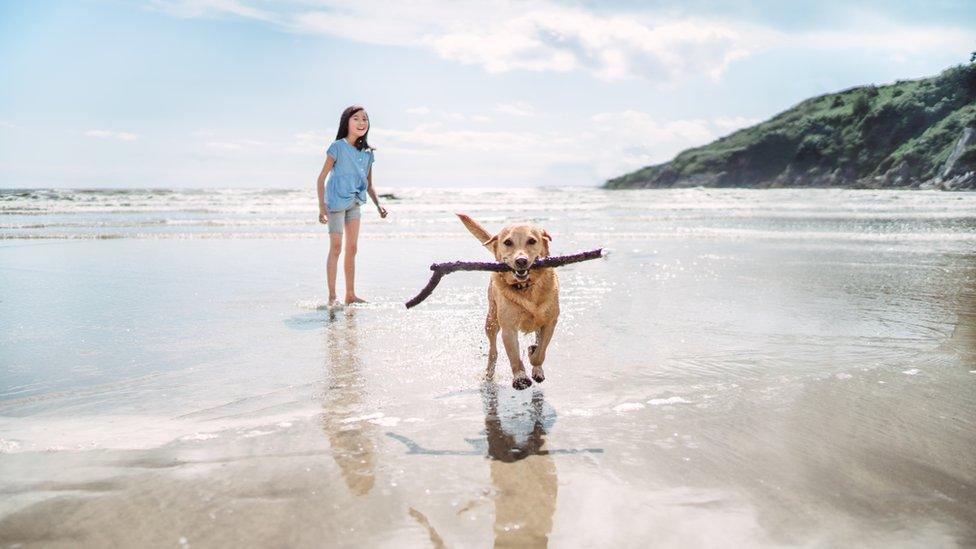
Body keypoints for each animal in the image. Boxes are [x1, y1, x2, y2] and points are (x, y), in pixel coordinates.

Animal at [456, 214, 556, 390]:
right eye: (508, 242)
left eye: (532, 241)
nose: (521, 261)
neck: (525, 288)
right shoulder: (508, 328)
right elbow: (514, 356)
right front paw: (520, 378)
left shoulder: (550, 322)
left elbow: (540, 352)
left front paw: (533, 357)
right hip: (491, 320)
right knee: (493, 351)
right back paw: (489, 374)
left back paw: (537, 368)